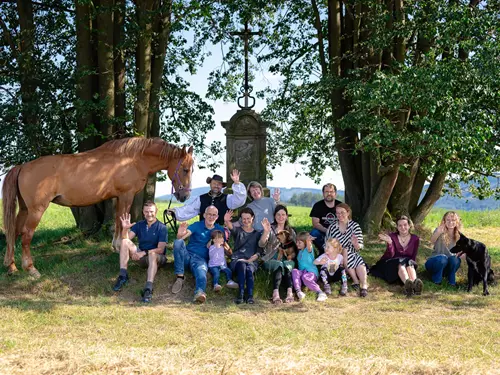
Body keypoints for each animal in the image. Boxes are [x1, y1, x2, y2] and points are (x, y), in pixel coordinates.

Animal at [1, 137, 193, 278]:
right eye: (185, 169)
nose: (184, 196)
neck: (132, 159)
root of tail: (23, 166)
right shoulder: (126, 195)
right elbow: (122, 220)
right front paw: (122, 246)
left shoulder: (118, 197)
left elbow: (118, 220)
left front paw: (116, 246)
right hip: (36, 210)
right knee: (26, 235)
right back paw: (31, 269)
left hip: (24, 209)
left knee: (13, 233)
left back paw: (12, 267)